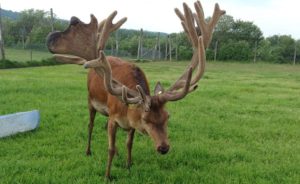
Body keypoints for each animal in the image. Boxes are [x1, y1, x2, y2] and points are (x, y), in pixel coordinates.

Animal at [46, 0, 225, 178]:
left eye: (168, 116)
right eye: (145, 119)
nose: (164, 147)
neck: (126, 110)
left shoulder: (129, 124)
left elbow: (128, 143)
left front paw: (128, 164)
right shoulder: (113, 118)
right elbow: (110, 148)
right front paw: (107, 175)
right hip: (90, 100)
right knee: (90, 126)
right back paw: (88, 151)